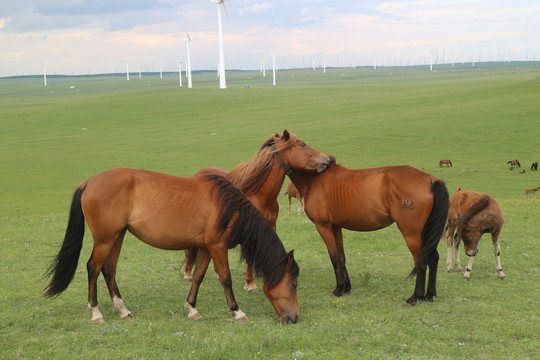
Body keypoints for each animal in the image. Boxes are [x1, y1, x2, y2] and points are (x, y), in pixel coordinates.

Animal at [43, 169, 300, 324]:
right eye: (294, 284)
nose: (294, 318)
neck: (229, 207)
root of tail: (89, 182)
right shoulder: (217, 247)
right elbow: (225, 278)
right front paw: (237, 311)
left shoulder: (206, 248)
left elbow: (198, 275)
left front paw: (192, 308)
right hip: (105, 239)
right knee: (93, 268)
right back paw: (96, 312)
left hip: (117, 237)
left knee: (109, 269)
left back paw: (122, 309)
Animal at [184, 131, 332, 292]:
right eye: (303, 145)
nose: (327, 159)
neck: (258, 195)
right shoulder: (250, 230)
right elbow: (250, 257)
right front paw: (250, 284)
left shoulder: (270, 226)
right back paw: (187, 275)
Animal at [288, 158, 450, 304]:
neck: (315, 180)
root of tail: (432, 181)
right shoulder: (336, 227)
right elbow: (341, 256)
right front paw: (346, 287)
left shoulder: (324, 226)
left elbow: (334, 257)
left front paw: (339, 289)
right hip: (427, 233)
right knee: (433, 258)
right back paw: (430, 294)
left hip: (412, 234)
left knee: (421, 261)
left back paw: (416, 296)